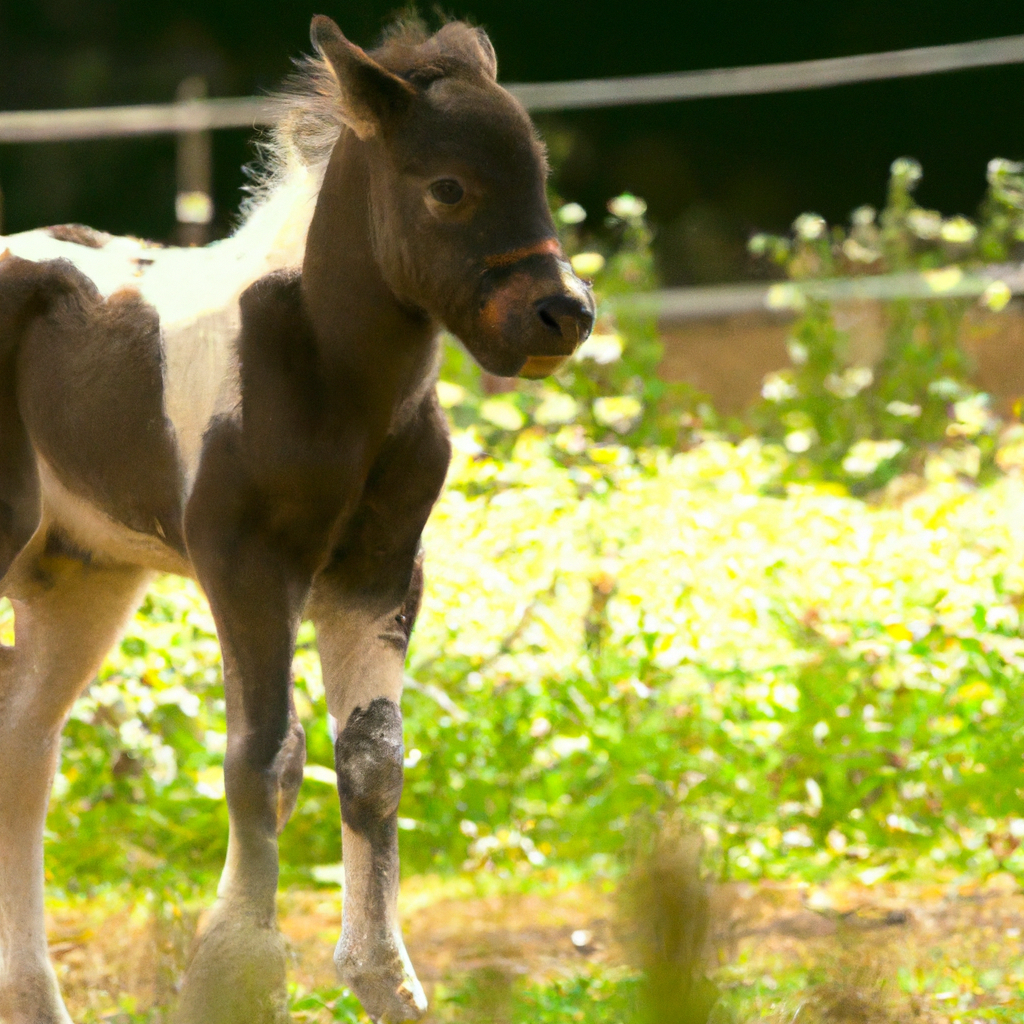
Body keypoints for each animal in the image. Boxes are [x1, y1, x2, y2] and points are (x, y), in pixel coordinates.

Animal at [0, 16, 593, 1024]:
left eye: (540, 176)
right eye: (448, 186)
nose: (563, 313)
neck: (331, 373)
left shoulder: (379, 574)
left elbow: (373, 760)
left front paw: (384, 980)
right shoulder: (245, 564)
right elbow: (263, 760)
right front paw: (235, 977)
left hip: (80, 576)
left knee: (23, 748)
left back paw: (37, 999)